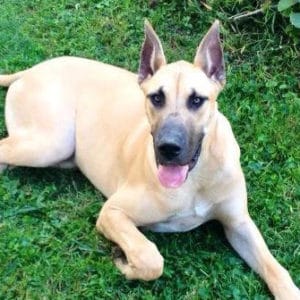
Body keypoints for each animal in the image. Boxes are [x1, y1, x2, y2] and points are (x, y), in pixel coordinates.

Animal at [0, 19, 298, 298]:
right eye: (156, 98)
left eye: (197, 100)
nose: (168, 148)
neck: (196, 179)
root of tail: (33, 69)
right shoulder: (113, 212)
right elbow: (151, 258)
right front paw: (125, 263)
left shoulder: (239, 224)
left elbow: (275, 267)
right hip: (50, 143)